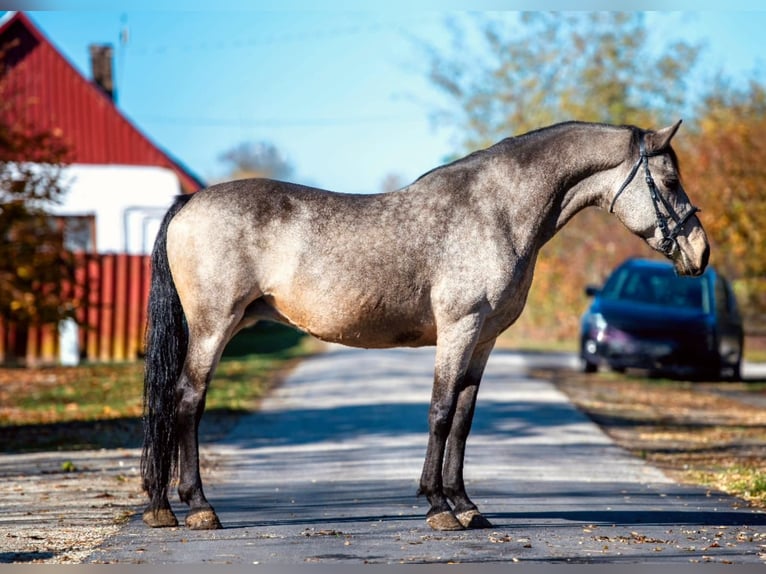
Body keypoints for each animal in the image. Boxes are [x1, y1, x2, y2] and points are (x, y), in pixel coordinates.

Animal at [140, 120, 709, 531]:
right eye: (670, 181)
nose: (700, 252)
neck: (496, 211)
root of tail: (190, 202)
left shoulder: (483, 338)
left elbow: (463, 417)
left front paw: (466, 504)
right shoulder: (459, 328)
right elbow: (439, 412)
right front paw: (438, 508)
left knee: (175, 400)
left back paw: (162, 506)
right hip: (214, 326)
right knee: (187, 400)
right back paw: (197, 507)